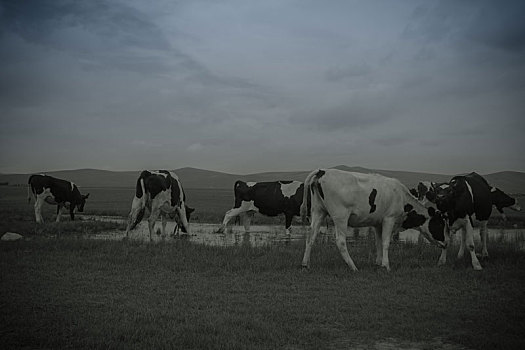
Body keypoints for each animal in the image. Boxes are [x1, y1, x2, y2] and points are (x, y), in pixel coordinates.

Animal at [298, 169, 446, 270]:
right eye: (440, 225)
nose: (446, 243)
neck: (401, 196)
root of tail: (323, 171)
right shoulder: (389, 219)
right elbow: (386, 242)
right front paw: (386, 265)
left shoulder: (377, 223)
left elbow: (378, 243)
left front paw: (378, 263)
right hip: (340, 216)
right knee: (340, 241)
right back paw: (353, 266)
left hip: (318, 211)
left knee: (311, 236)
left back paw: (305, 264)